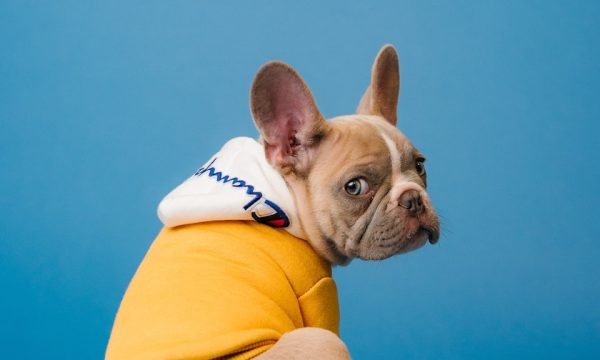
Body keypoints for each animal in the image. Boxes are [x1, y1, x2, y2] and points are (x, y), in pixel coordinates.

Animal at [105, 45, 438, 360]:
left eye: (420, 166)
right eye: (355, 187)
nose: (412, 198)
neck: (284, 196)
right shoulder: (318, 295)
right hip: (319, 341)